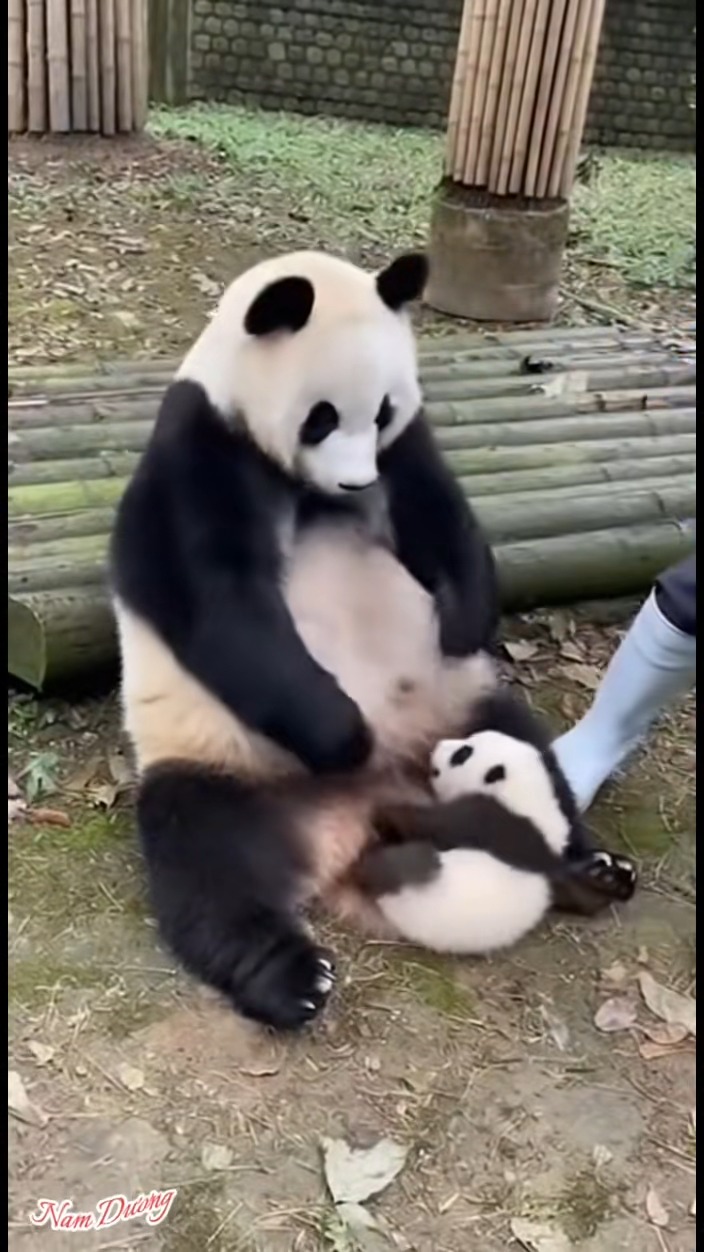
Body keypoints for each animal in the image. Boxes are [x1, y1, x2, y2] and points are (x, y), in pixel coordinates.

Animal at [352, 691, 638, 955]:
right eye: (467, 742)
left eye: (462, 753)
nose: (439, 745)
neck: (525, 794)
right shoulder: (555, 860)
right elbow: (578, 893)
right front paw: (607, 876)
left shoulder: (494, 817)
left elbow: (441, 823)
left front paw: (387, 812)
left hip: (413, 877)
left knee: (399, 862)